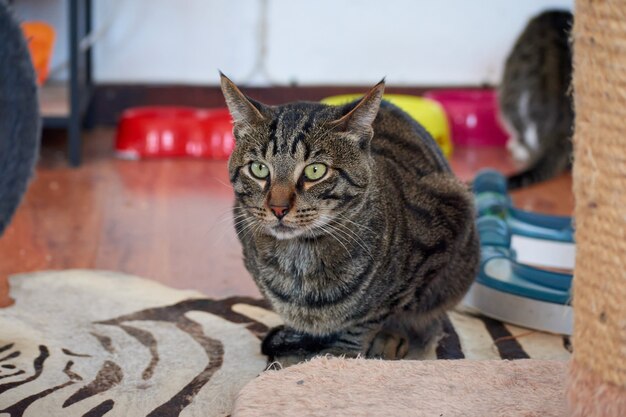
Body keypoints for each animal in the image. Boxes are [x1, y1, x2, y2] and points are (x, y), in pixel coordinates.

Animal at [219, 73, 478, 366]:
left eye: (315, 171)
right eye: (259, 169)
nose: (278, 208)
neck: (300, 260)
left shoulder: (447, 223)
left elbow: (375, 315)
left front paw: (339, 356)